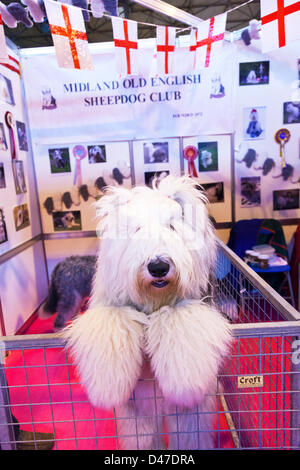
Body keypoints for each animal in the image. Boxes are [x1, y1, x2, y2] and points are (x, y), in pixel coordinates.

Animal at [64, 175, 231, 448]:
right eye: (137, 229)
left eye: (172, 227)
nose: (159, 266)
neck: (155, 300)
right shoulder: (108, 304)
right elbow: (110, 325)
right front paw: (106, 387)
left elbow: (181, 321)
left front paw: (184, 383)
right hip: (138, 421)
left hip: (191, 420)